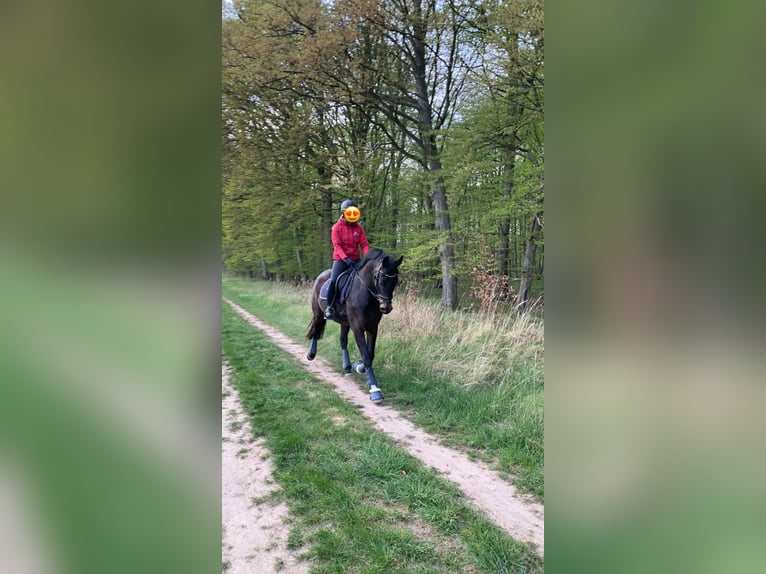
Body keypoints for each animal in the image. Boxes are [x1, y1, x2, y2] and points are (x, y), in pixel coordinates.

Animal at [306, 249, 404, 404]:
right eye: (381, 281)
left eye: (395, 282)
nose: (386, 308)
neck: (366, 293)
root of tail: (321, 276)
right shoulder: (357, 327)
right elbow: (366, 355)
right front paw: (375, 390)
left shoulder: (372, 327)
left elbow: (370, 354)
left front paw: (359, 366)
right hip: (318, 313)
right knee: (316, 330)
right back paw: (311, 354)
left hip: (344, 323)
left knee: (342, 341)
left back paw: (347, 368)